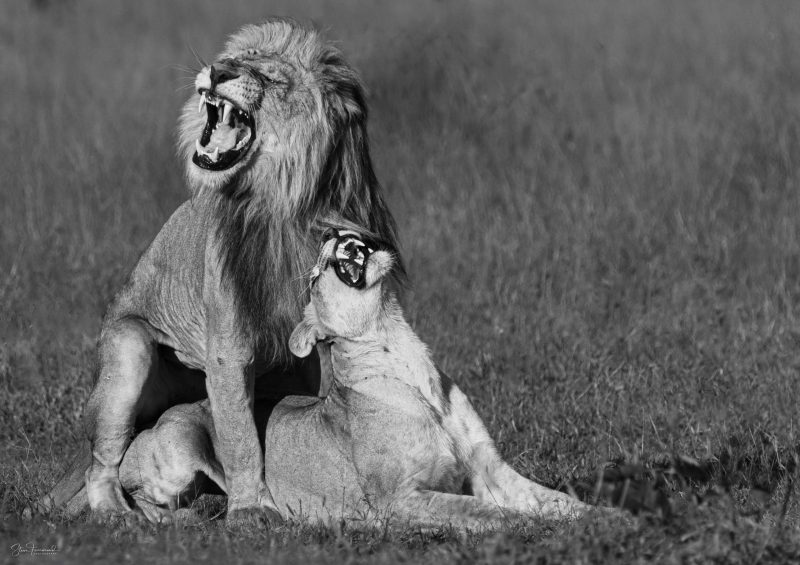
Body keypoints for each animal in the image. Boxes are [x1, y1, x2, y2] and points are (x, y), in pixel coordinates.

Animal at [38, 18, 401, 525]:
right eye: (235, 58)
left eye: (271, 77)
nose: (218, 70)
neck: (283, 206)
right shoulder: (229, 345)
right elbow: (240, 438)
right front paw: (251, 509)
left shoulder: (302, 354)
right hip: (129, 349)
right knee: (102, 464)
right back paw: (120, 515)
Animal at [51, 231, 592, 530]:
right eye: (316, 274)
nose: (335, 234)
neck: (398, 345)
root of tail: (150, 424)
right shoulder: (399, 498)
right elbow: (483, 513)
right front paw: (520, 526)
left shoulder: (492, 471)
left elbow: (561, 501)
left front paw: (603, 522)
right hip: (180, 441)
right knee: (135, 496)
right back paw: (199, 514)